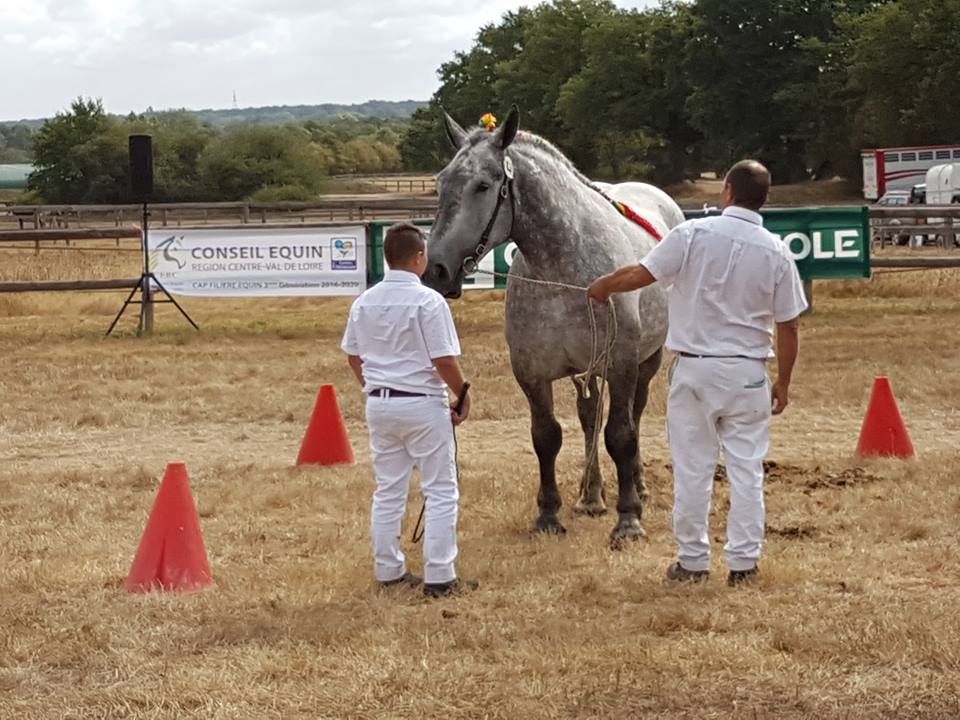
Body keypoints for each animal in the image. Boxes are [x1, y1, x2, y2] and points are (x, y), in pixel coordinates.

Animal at [422, 107, 684, 544]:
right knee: (589, 416)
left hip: (645, 363)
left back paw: (637, 487)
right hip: (587, 371)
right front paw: (548, 515)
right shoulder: (531, 372)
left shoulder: (621, 364)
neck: (564, 269)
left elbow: (622, 435)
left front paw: (628, 520)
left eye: (483, 185)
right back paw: (591, 495)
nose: (436, 271)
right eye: (440, 184)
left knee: (633, 415)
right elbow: (547, 437)